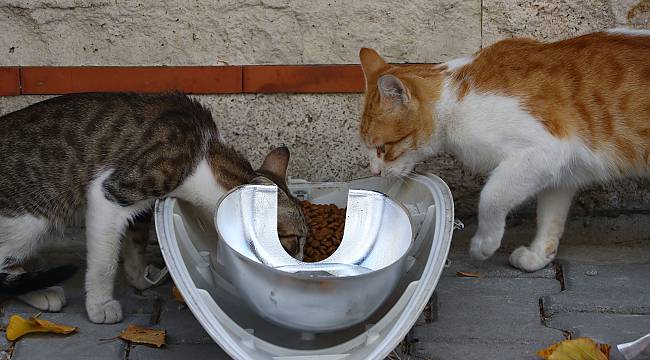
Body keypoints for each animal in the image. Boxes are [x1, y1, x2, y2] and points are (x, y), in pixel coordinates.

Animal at [0, 93, 308, 324]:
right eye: (292, 240)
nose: (302, 269)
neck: (205, 159)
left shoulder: (143, 207)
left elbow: (135, 244)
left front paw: (138, 278)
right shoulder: (111, 192)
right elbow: (104, 263)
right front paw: (101, 304)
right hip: (32, 219)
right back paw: (41, 289)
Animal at [360, 28, 648, 270]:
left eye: (382, 148)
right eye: (369, 148)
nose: (373, 172)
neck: (454, 100)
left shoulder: (544, 151)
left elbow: (491, 196)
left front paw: (484, 243)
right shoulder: (562, 171)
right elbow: (550, 215)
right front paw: (538, 255)